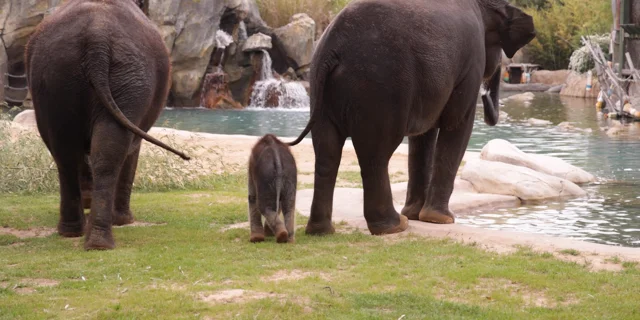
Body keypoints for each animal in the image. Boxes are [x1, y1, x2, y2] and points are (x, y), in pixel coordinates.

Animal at [25, 0, 190, 250]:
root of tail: (97, 37)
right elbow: (132, 149)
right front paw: (120, 219)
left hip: (62, 76)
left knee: (71, 151)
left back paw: (85, 236)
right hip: (122, 76)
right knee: (96, 150)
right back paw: (96, 234)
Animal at [288, 0, 536, 235]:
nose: (487, 98)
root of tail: (334, 45)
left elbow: (423, 137)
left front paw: (418, 215)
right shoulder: (470, 63)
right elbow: (457, 124)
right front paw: (440, 219)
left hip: (321, 87)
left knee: (327, 151)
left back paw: (321, 231)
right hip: (380, 85)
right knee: (376, 153)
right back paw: (395, 226)